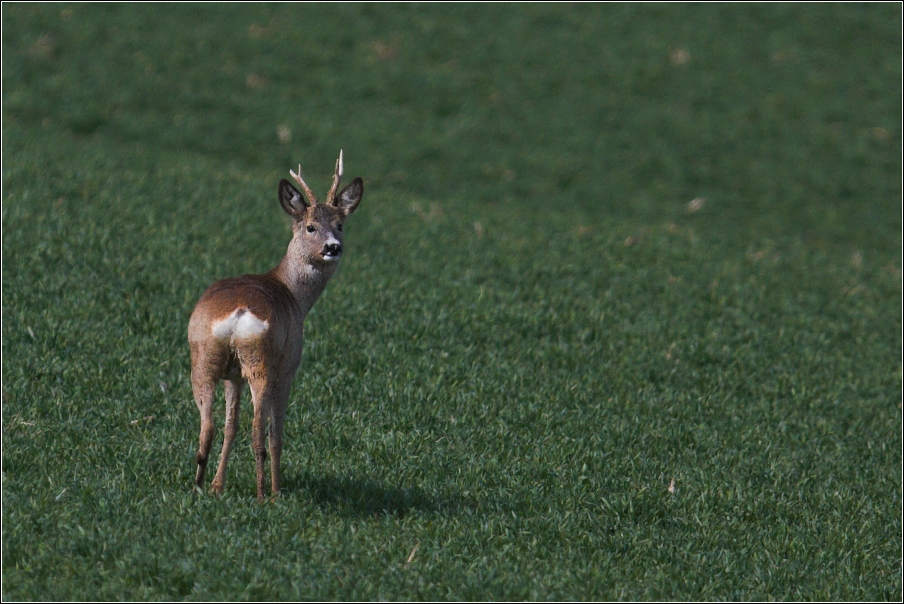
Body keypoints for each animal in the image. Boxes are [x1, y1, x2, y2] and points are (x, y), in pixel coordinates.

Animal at [188, 152, 364, 500]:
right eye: (310, 226)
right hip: (263, 363)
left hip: (204, 357)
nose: (333, 247)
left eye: (340, 224)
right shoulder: (290, 366)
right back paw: (263, 496)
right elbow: (276, 435)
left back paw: (201, 485)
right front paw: (276, 488)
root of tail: (239, 314)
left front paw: (218, 485)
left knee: (209, 426)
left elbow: (231, 426)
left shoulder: (233, 375)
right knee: (259, 432)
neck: (293, 293)